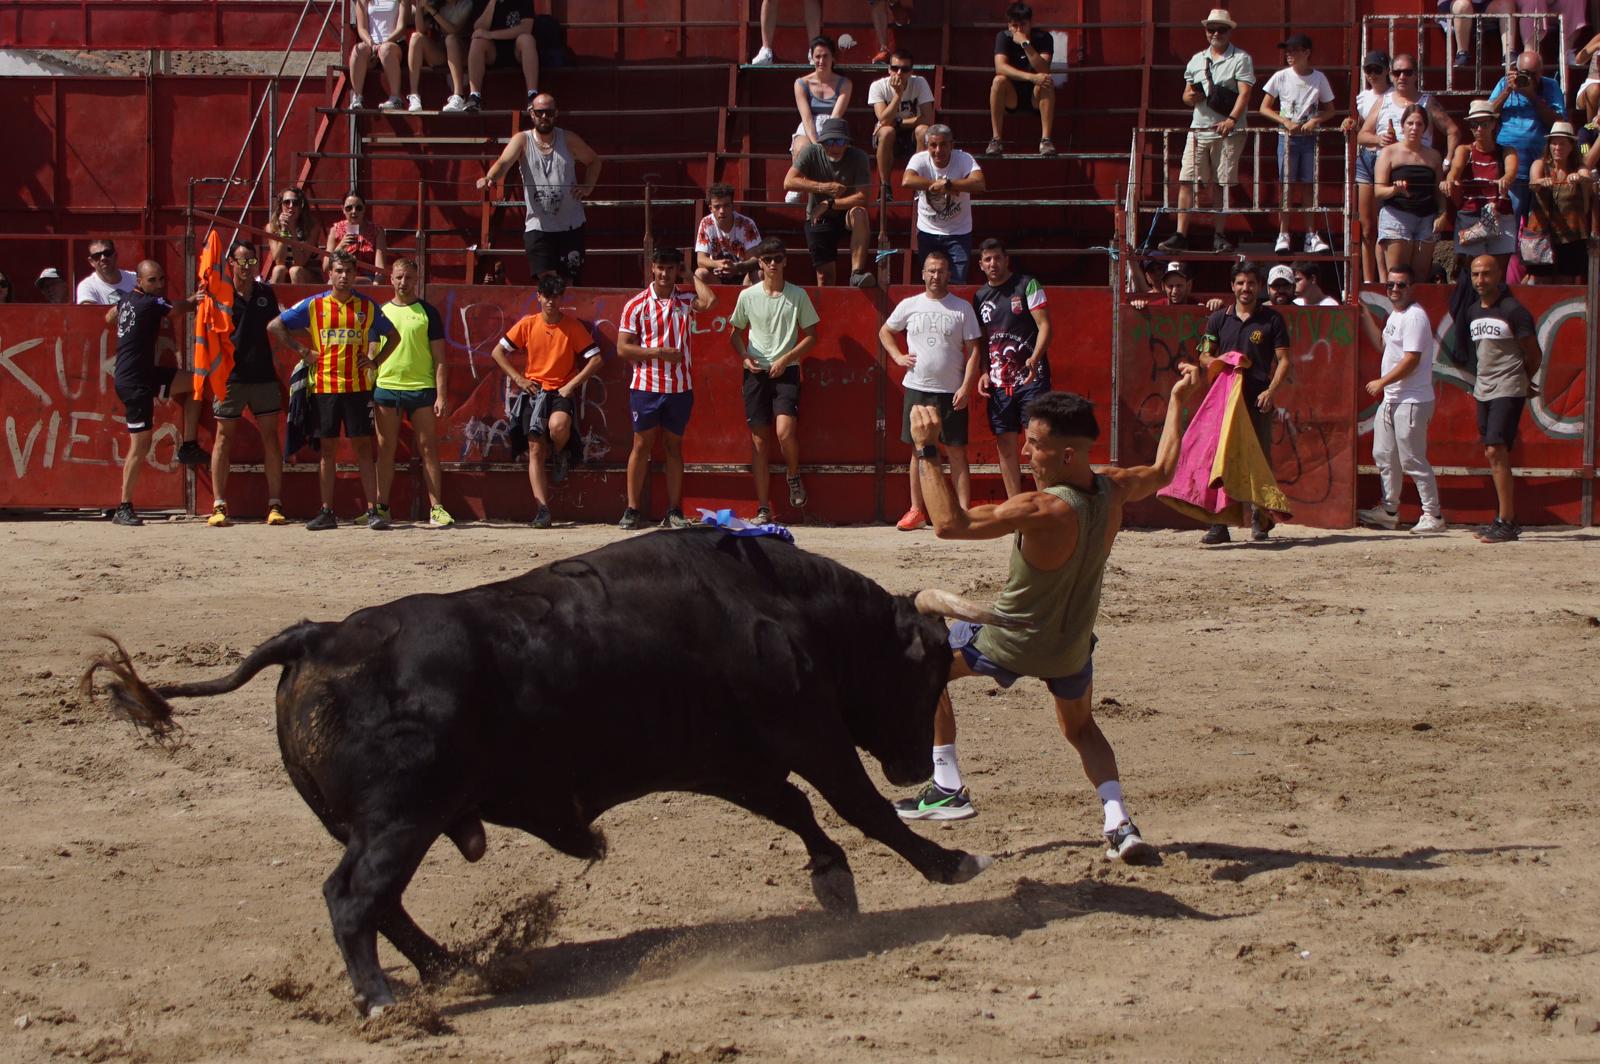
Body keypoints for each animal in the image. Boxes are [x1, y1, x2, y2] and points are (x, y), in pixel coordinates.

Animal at [81, 528, 1004, 1011]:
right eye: (927, 673)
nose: (914, 764)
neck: (776, 607)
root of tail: (317, 636)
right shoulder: (810, 738)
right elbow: (858, 809)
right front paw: (950, 863)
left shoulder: (735, 761)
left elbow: (798, 814)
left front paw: (832, 883)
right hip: (401, 817)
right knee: (353, 898)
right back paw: (383, 997)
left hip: (394, 822)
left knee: (383, 902)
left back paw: (446, 968)